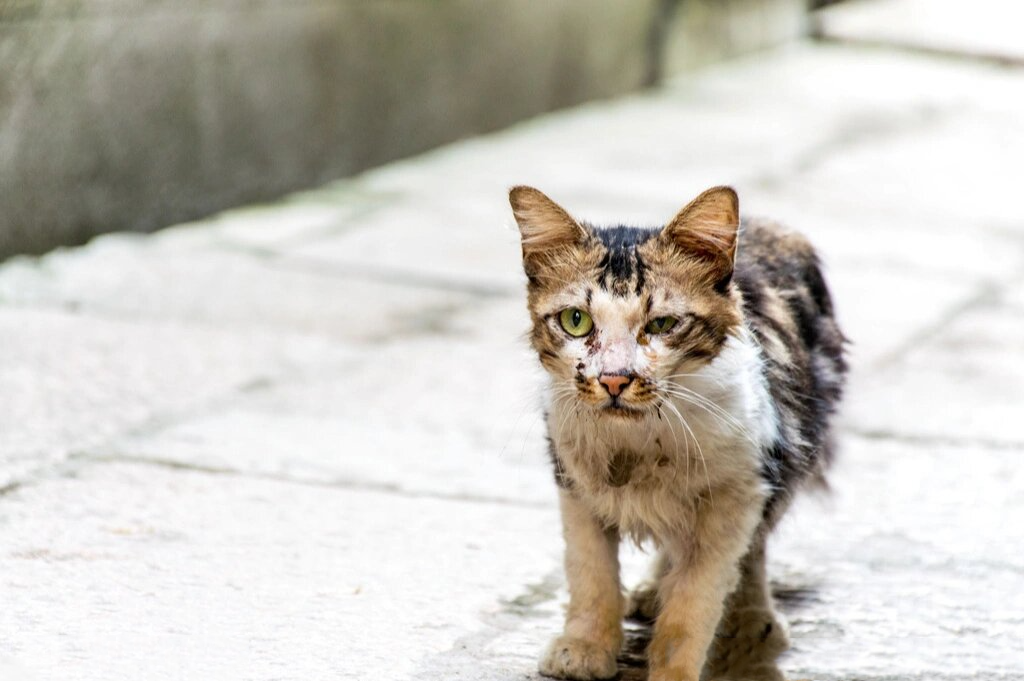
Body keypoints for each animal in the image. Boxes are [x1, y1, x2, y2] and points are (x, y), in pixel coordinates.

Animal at [507, 186, 843, 679]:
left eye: (662, 324)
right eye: (576, 321)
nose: (614, 379)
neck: (642, 441)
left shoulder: (739, 493)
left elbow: (693, 604)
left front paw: (674, 669)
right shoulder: (574, 482)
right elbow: (590, 573)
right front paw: (585, 647)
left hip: (793, 444)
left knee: (754, 549)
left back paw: (752, 624)